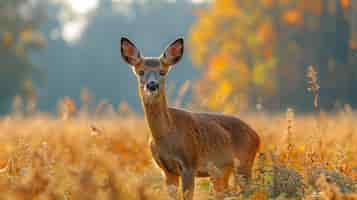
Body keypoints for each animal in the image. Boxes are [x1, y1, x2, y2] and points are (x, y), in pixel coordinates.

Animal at [119, 36, 258, 199]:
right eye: (141, 72)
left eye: (162, 72)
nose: (152, 85)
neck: (167, 138)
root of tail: (257, 136)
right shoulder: (167, 170)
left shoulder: (190, 163)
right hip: (222, 171)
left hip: (244, 162)